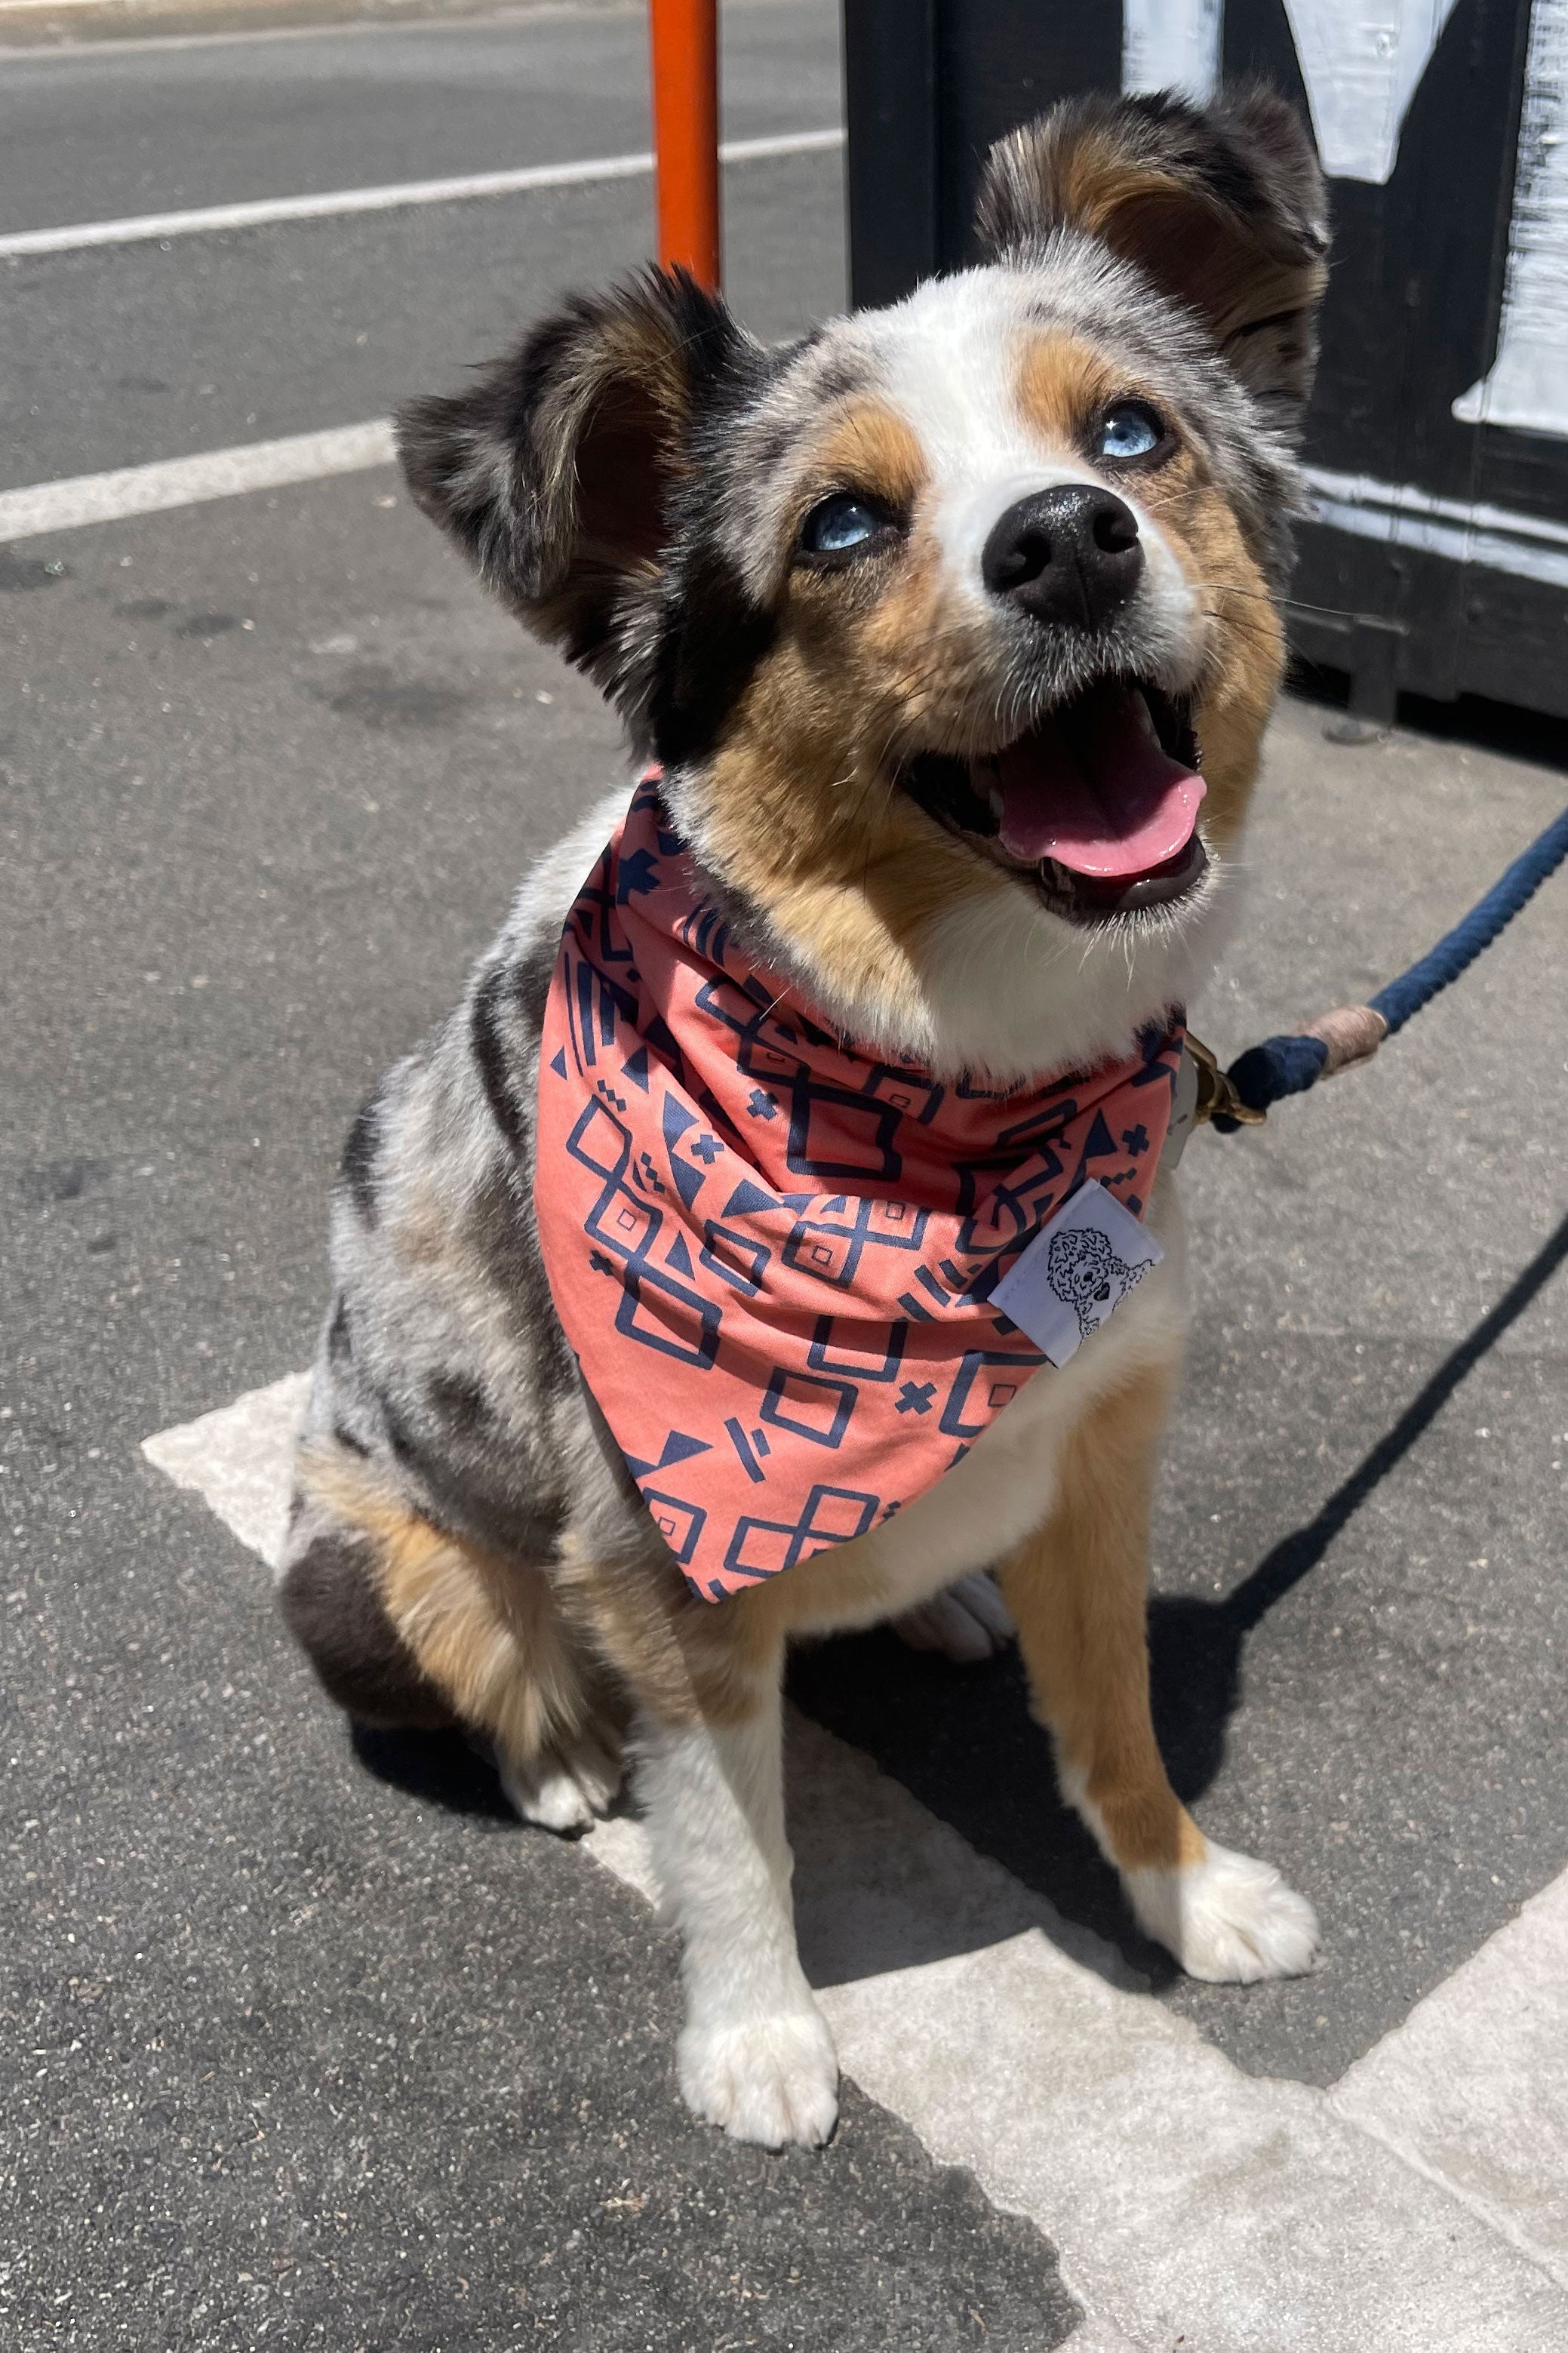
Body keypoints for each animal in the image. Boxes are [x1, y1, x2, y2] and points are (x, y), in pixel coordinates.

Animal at [278, 87, 1318, 2155]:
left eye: (1127, 435)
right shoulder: (654, 1551)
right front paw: (756, 2034)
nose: (1068, 543)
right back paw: (555, 1759)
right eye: (840, 522)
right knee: (498, 1662)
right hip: (367, 1556)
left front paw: (1187, 1891)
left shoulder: (1104, 1443)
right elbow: (727, 1830)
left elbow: (1113, 1724)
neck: (956, 1090)